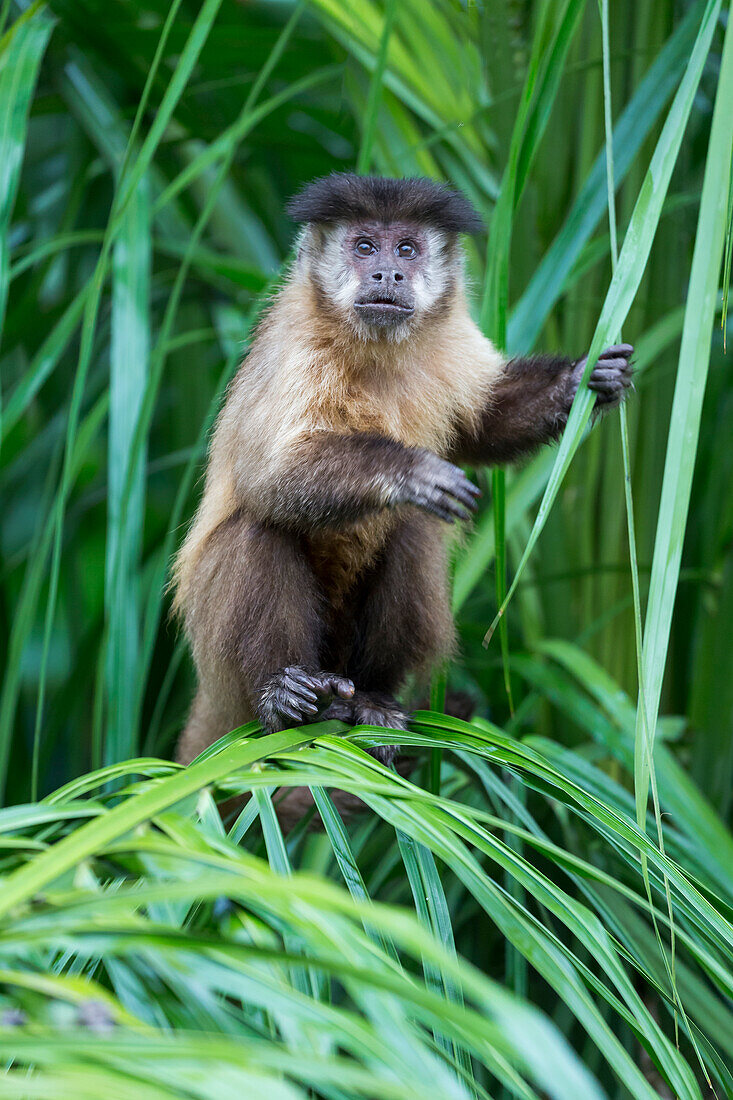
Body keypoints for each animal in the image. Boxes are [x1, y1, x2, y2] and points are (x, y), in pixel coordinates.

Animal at [169, 173, 629, 800]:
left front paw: (583, 377)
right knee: (257, 531)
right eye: (365, 247)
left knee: (412, 532)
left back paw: (374, 700)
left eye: (406, 249)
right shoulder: (296, 350)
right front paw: (410, 472)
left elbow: (486, 424)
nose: (388, 273)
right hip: (221, 660)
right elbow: (271, 476)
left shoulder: (452, 337)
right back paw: (283, 696)